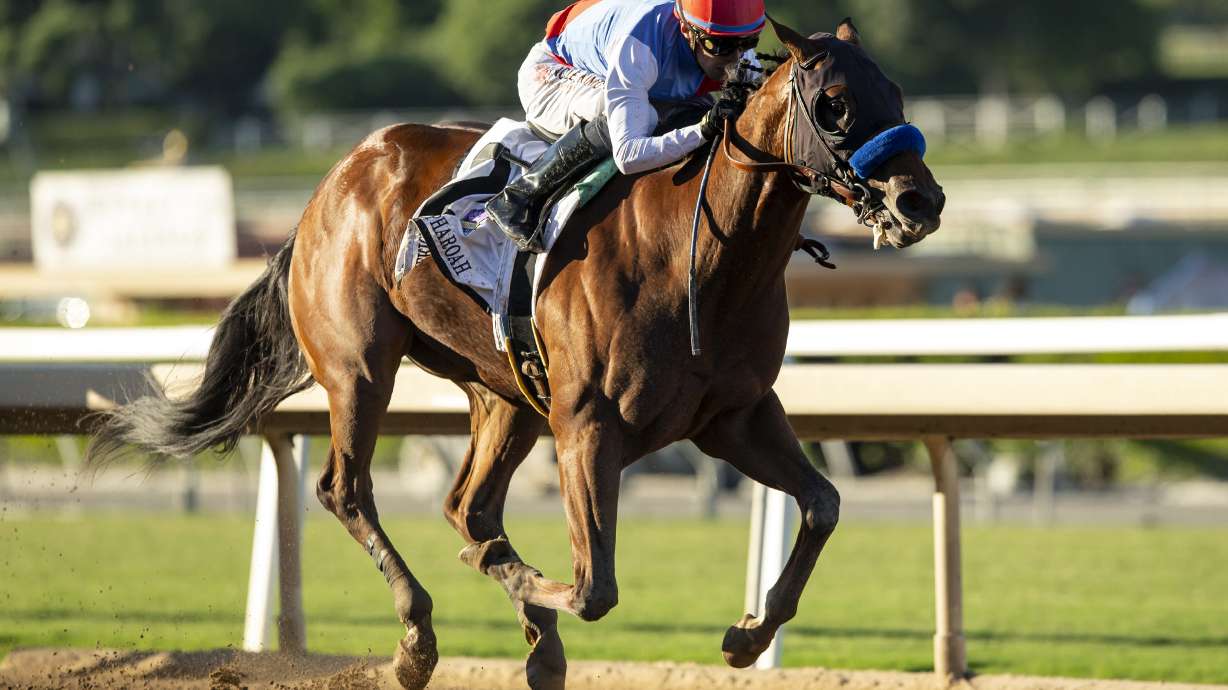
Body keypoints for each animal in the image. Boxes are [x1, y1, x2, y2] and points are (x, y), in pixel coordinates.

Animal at [88, 17, 943, 690]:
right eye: (834, 104)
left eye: (899, 95)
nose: (920, 201)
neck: (699, 256)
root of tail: (332, 183)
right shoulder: (588, 425)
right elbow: (594, 586)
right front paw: (518, 582)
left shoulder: (732, 415)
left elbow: (823, 504)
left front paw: (746, 635)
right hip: (362, 369)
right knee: (347, 490)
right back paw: (420, 641)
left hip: (506, 394)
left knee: (468, 505)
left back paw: (528, 632)